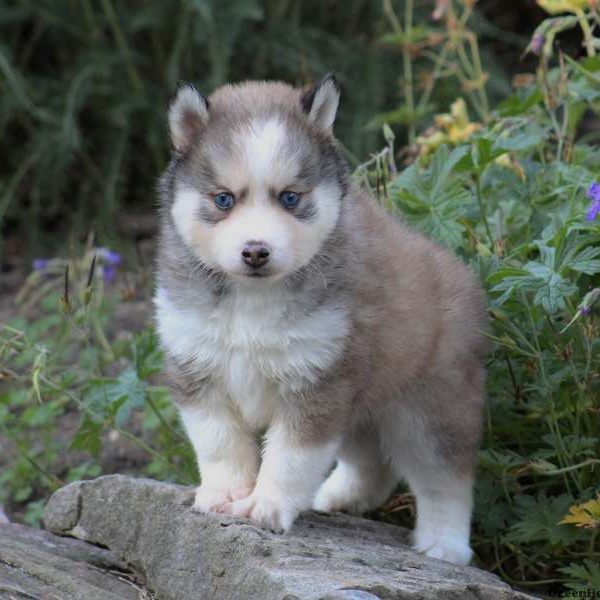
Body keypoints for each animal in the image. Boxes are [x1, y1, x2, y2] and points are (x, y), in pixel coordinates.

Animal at [156, 72, 488, 564]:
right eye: (224, 199)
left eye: (290, 197)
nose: (256, 251)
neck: (252, 301)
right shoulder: (198, 369)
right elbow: (219, 443)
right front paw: (225, 493)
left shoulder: (317, 384)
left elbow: (290, 457)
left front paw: (267, 505)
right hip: (362, 409)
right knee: (372, 466)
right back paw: (338, 496)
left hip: (432, 411)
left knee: (446, 481)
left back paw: (444, 545)